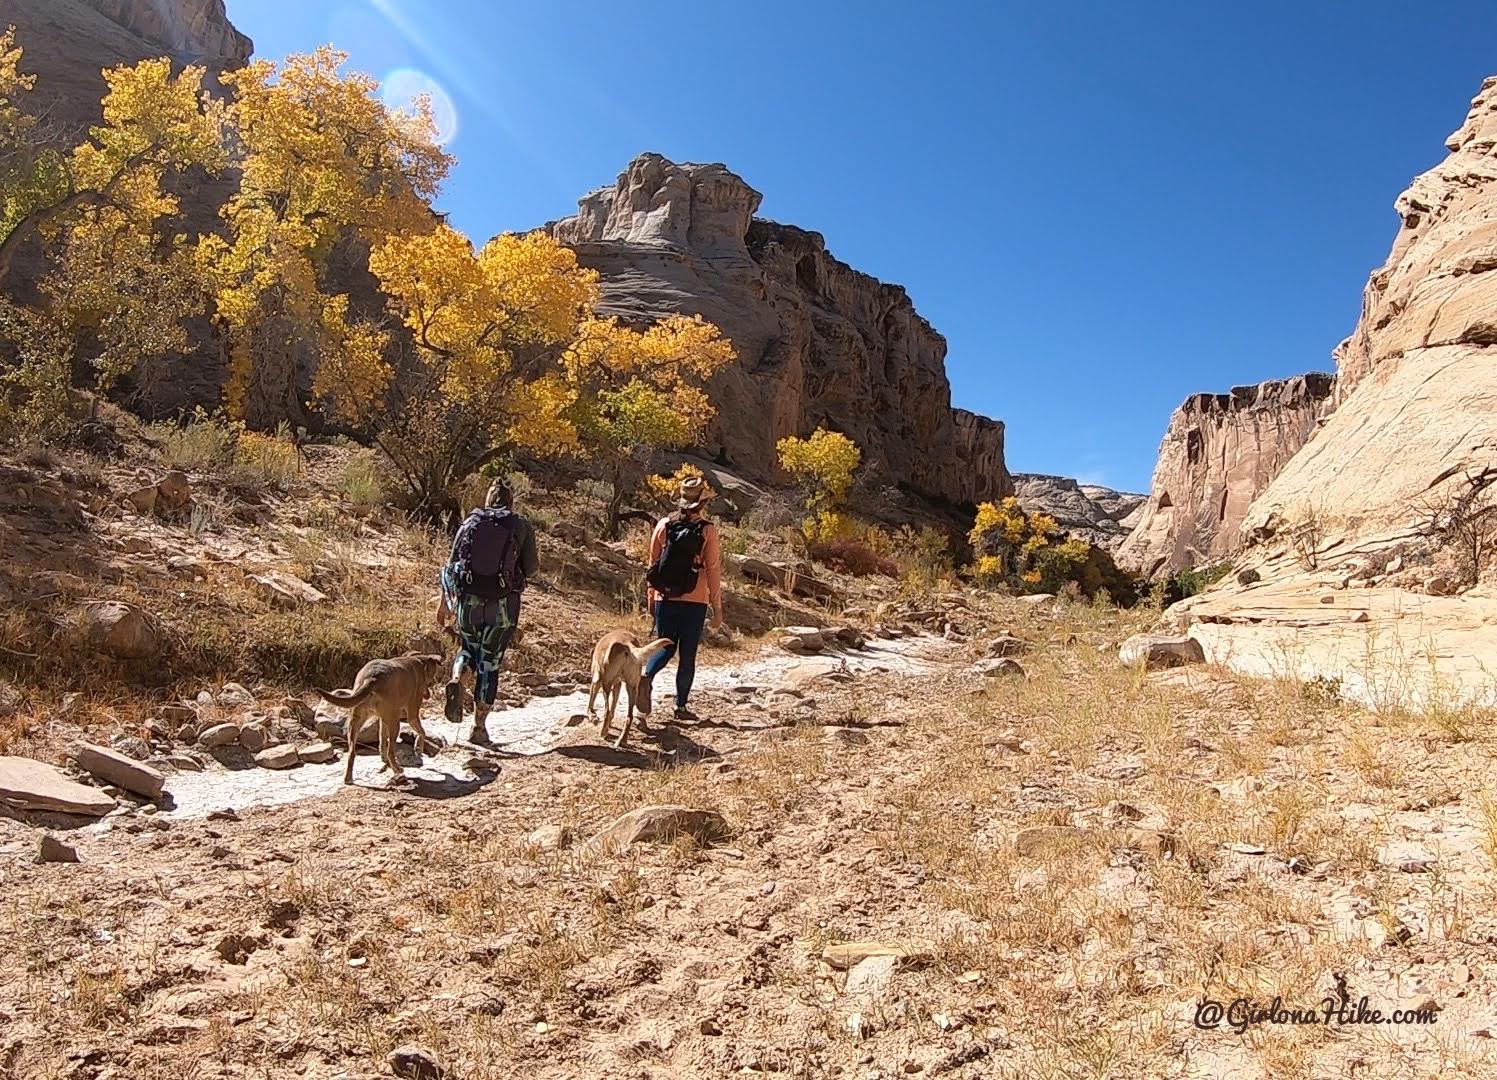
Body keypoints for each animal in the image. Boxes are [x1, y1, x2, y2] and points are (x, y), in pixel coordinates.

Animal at [318, 650, 446, 784]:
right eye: (430, 680)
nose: (428, 695)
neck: (418, 661)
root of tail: (371, 679)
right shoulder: (411, 715)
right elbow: (422, 732)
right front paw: (418, 748)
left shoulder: (383, 720)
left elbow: (382, 739)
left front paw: (383, 757)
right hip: (395, 723)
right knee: (391, 751)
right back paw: (398, 770)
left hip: (355, 722)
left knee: (352, 752)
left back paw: (348, 778)